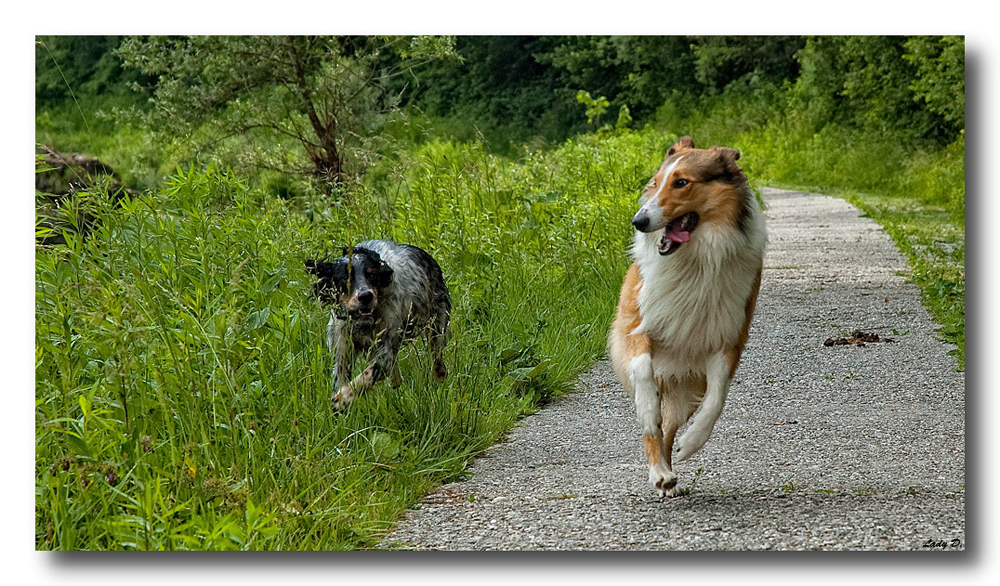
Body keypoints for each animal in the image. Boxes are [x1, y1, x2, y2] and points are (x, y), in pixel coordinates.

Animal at [300, 240, 450, 408]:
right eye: (345, 277)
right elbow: (341, 377)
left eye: (372, 275)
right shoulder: (342, 350)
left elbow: (366, 375)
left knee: (437, 359)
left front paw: (342, 399)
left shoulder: (384, 346)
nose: (365, 296)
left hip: (436, 324)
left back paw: (439, 375)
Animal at [608, 137, 764, 498]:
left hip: (686, 385)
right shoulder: (636, 323)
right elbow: (642, 371)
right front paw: (647, 411)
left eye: (681, 182)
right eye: (657, 181)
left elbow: (716, 399)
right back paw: (659, 470)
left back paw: (667, 473)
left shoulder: (728, 337)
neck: (697, 257)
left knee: (670, 428)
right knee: (656, 428)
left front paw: (692, 443)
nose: (639, 221)